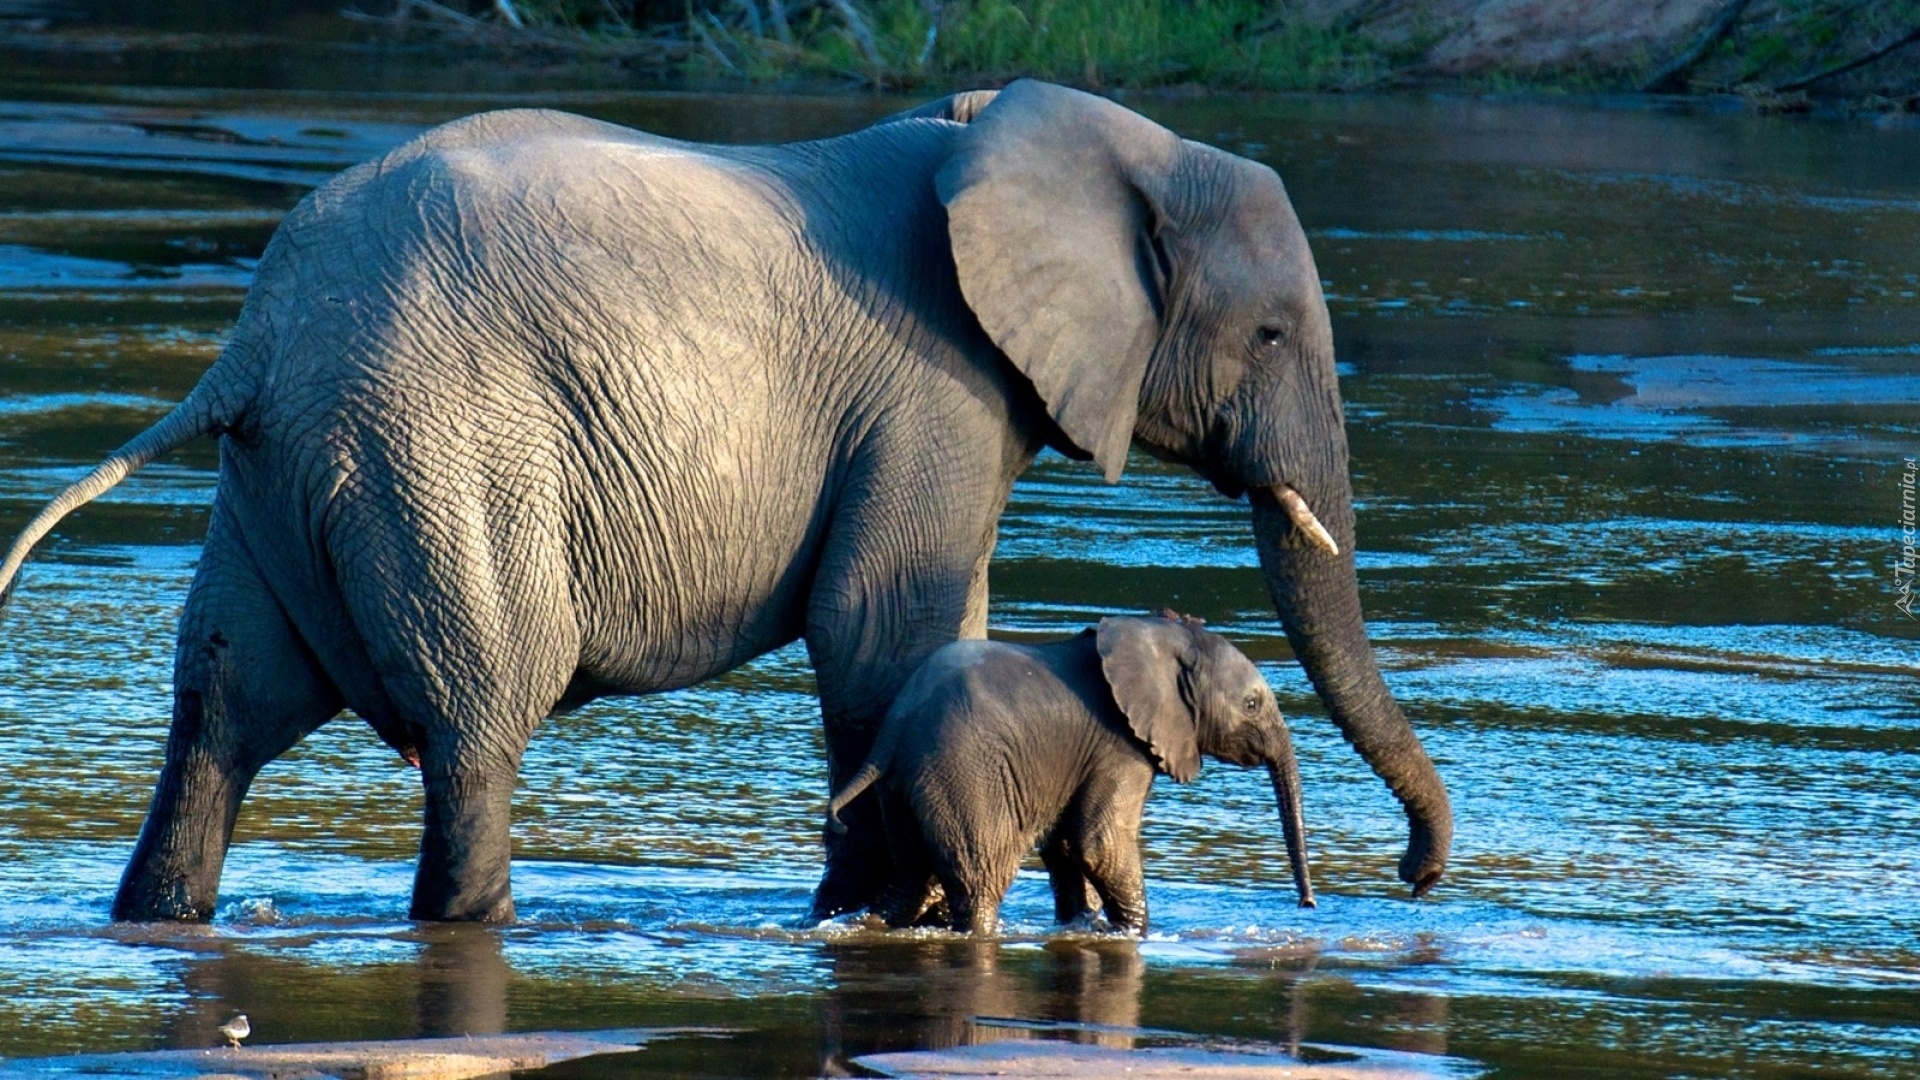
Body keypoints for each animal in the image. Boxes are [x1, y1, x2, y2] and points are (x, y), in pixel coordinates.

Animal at [833, 611, 1313, 930]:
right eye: (1251, 704)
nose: (1307, 906)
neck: (1160, 634)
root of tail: (893, 731)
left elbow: (1066, 845)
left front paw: (1084, 925)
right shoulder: (1120, 746)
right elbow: (1099, 843)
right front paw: (1133, 933)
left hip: (904, 788)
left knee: (911, 878)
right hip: (962, 774)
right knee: (980, 879)